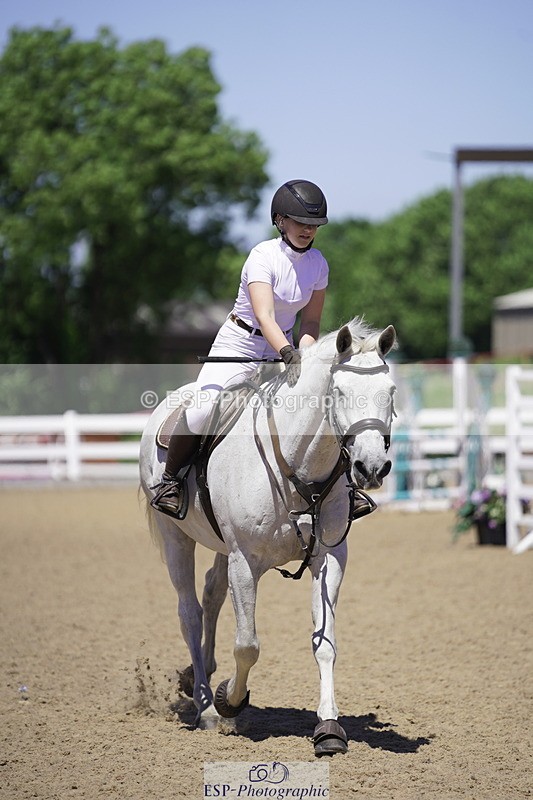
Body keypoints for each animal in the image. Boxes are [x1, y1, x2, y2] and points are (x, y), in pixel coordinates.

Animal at [139, 318, 397, 756]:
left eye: (391, 392)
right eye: (340, 392)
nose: (372, 467)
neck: (297, 466)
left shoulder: (329, 559)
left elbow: (325, 643)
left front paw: (329, 728)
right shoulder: (245, 562)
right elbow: (248, 645)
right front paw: (229, 700)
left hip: (221, 547)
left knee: (211, 594)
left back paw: (198, 675)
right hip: (176, 537)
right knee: (189, 612)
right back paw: (206, 705)